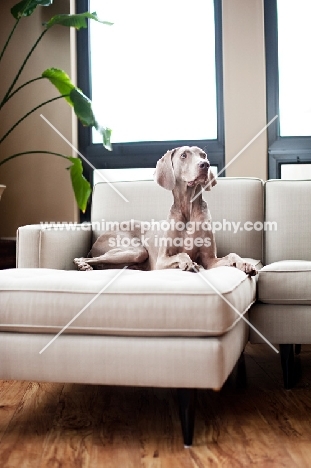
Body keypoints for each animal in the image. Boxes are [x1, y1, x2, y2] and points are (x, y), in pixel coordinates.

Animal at [73, 146, 258, 276]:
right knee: (85, 257)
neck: (188, 210)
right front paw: (189, 263)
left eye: (203, 154)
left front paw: (245, 264)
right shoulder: (161, 261)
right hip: (135, 250)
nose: (204, 165)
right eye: (183, 155)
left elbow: (231, 255)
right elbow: (181, 255)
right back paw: (83, 264)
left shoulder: (210, 260)